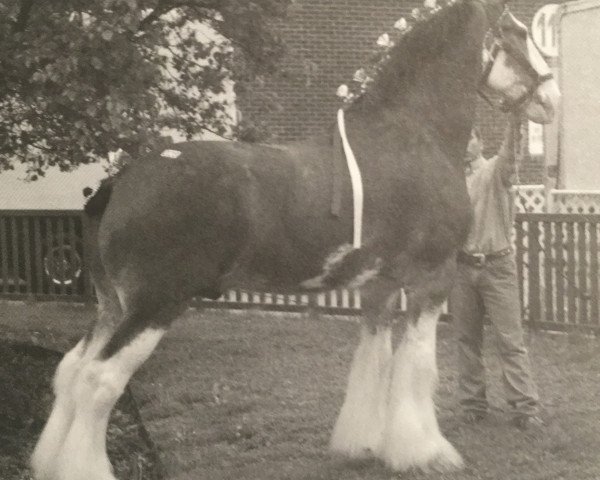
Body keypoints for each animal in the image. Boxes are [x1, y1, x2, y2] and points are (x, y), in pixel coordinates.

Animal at [32, 1, 556, 478]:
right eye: (518, 32)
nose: (551, 100)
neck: (412, 134)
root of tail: (120, 182)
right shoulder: (432, 279)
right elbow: (418, 368)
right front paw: (427, 453)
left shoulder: (379, 287)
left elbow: (373, 361)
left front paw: (364, 445)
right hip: (153, 305)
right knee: (99, 381)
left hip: (112, 306)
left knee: (71, 370)